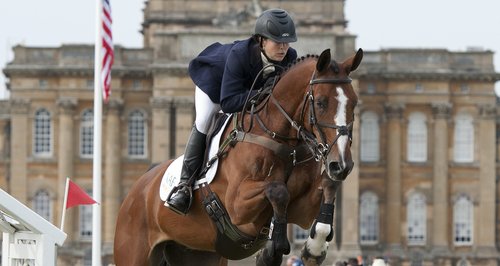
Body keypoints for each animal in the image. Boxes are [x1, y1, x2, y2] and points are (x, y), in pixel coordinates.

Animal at [113, 48, 364, 266]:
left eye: (354, 103)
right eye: (320, 103)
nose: (342, 164)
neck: (280, 139)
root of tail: (136, 190)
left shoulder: (302, 209)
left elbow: (329, 186)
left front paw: (314, 248)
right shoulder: (237, 206)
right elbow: (278, 190)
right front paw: (273, 248)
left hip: (197, 254)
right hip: (134, 253)